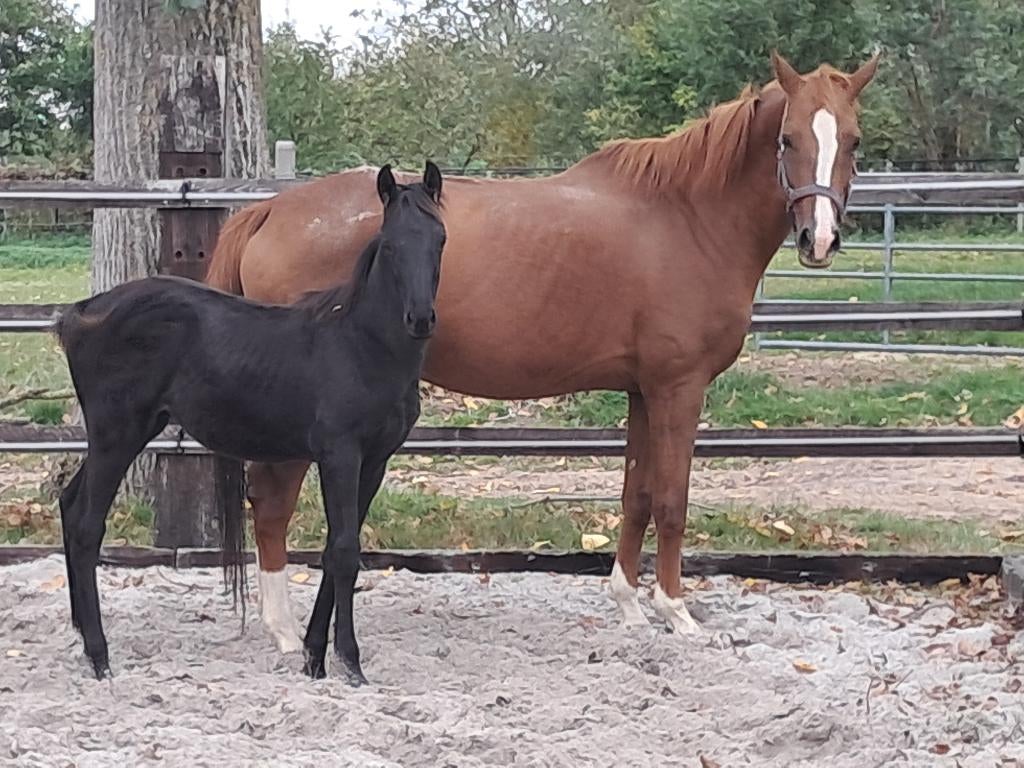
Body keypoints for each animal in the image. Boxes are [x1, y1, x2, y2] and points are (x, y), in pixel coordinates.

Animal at [54, 163, 446, 682]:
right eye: (390, 244)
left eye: (440, 239)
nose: (420, 319)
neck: (361, 344)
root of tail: (81, 314)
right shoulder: (340, 455)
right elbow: (344, 551)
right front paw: (350, 661)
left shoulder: (375, 461)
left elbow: (335, 550)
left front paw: (314, 657)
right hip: (117, 435)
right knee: (85, 524)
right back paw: (100, 656)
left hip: (119, 436)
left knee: (68, 502)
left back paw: (82, 639)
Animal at [206, 52, 879, 653]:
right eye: (788, 138)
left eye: (853, 140)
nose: (819, 240)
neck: (685, 219)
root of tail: (269, 210)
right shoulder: (679, 388)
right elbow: (672, 500)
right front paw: (677, 614)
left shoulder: (643, 391)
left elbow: (636, 496)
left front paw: (630, 609)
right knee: (272, 503)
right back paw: (285, 632)